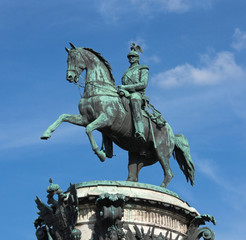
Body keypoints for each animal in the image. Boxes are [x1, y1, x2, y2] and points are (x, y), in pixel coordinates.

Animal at [40, 44, 194, 188]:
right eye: (67, 60)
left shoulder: (105, 119)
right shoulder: (84, 118)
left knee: (169, 173)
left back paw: (160, 188)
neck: (98, 90)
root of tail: (172, 134)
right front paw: (46, 133)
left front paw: (100, 154)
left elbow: (89, 129)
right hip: (138, 154)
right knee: (134, 174)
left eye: (75, 58)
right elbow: (63, 116)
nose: (70, 77)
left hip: (161, 152)